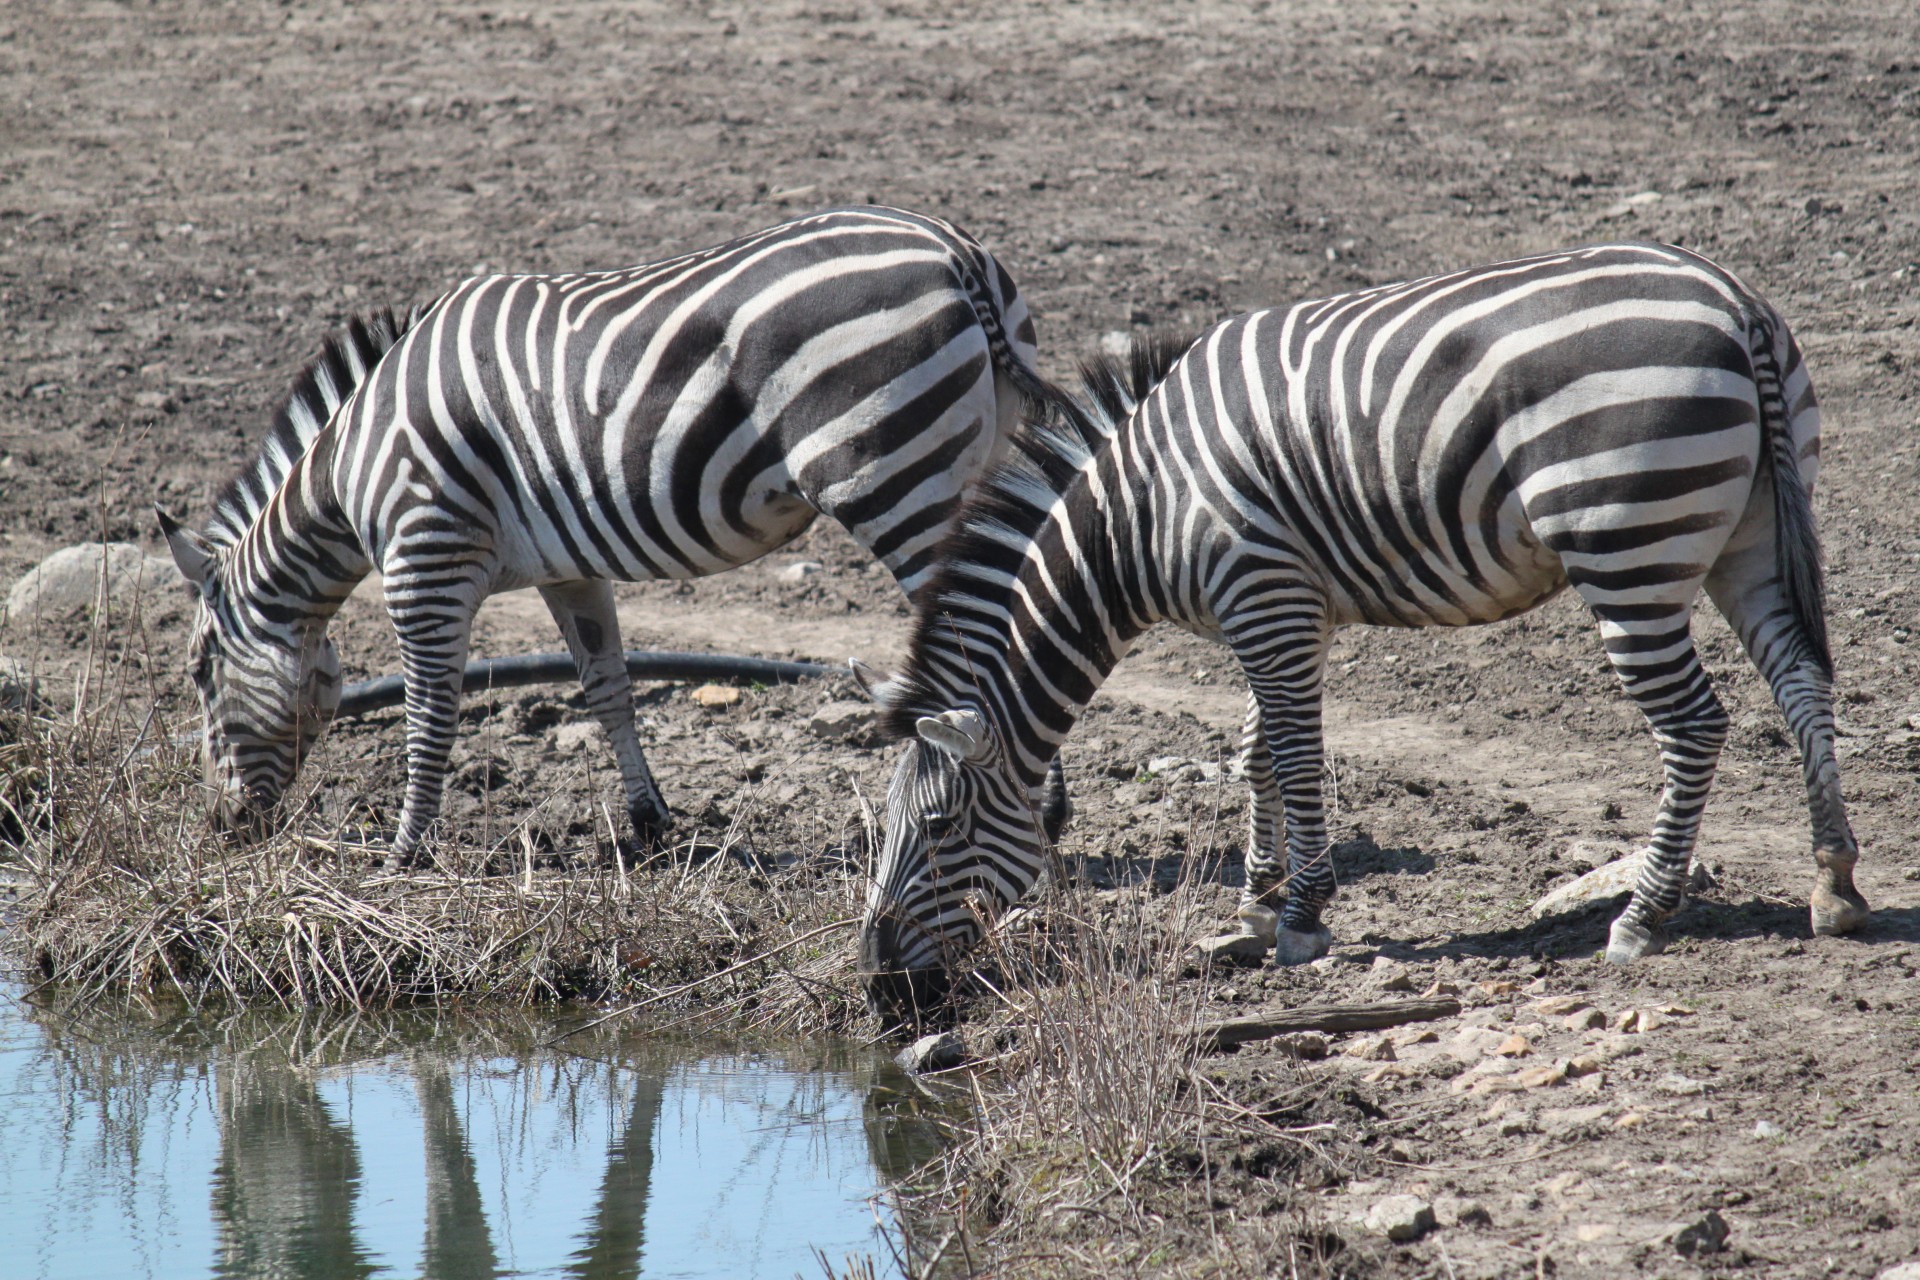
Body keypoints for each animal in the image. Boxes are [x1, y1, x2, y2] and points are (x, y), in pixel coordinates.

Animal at [155, 208, 1075, 871]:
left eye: (199, 671)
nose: (224, 829)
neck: (350, 475)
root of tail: (955, 252)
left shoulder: (425, 561)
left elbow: (430, 712)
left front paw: (406, 852)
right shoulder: (569, 571)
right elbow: (608, 688)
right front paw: (650, 823)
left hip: (893, 476)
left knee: (986, 628)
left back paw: (1024, 802)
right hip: (986, 458)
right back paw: (1044, 805)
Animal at [860, 239, 1873, 1020]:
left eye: (940, 826)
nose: (876, 981)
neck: (1135, 516)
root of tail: (1731, 299)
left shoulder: (1264, 596)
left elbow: (1296, 754)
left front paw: (1302, 918)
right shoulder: (1282, 608)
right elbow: (1257, 754)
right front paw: (1254, 909)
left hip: (1629, 545)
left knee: (1694, 725)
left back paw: (1643, 915)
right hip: (1752, 534)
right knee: (1802, 682)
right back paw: (1834, 883)